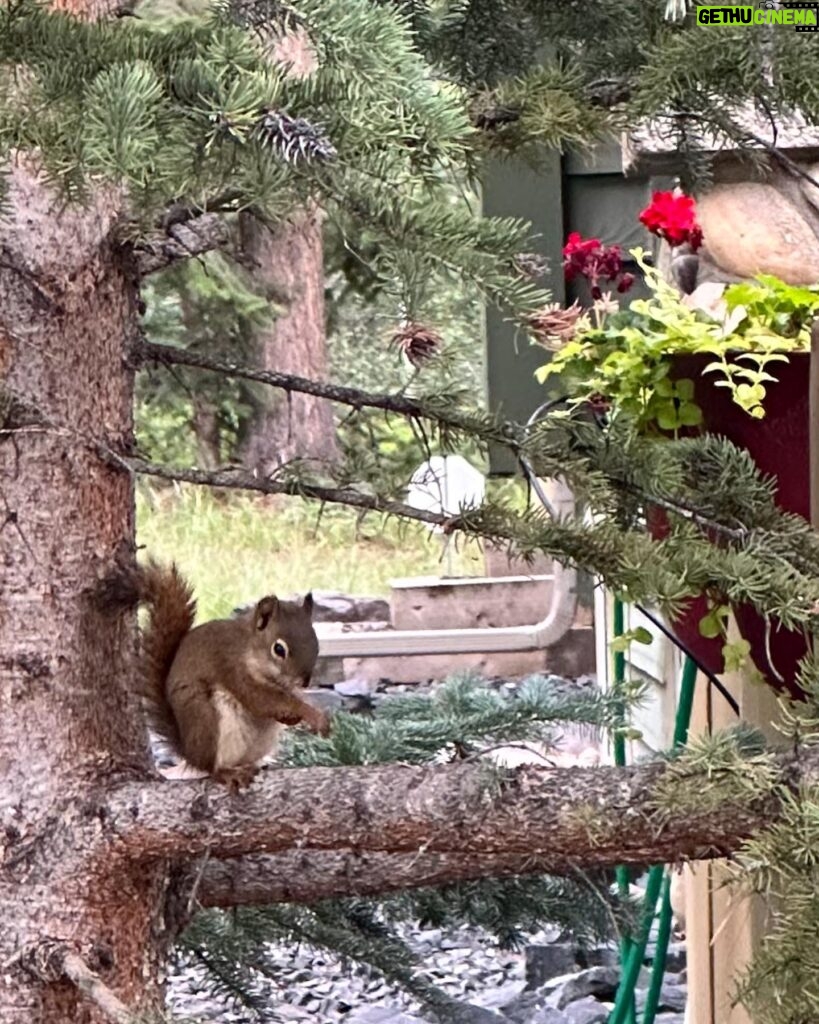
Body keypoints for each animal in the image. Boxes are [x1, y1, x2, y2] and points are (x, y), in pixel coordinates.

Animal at [126, 565, 327, 786]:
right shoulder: (232, 668)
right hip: (208, 721)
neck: (250, 648)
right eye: (279, 649)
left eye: (316, 642)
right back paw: (227, 772)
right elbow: (262, 700)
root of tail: (189, 753)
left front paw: (295, 717)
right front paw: (312, 714)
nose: (305, 681)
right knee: (211, 768)